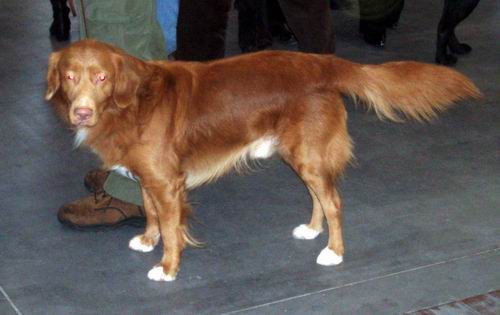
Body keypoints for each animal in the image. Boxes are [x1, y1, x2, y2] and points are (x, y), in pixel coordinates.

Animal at [46, 40, 480, 284]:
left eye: (101, 78)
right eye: (69, 76)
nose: (81, 113)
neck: (131, 102)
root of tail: (323, 62)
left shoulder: (167, 181)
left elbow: (172, 228)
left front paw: (168, 267)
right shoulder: (148, 177)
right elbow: (152, 213)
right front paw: (148, 239)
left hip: (306, 153)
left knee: (334, 201)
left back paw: (334, 252)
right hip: (299, 154)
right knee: (318, 197)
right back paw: (312, 230)